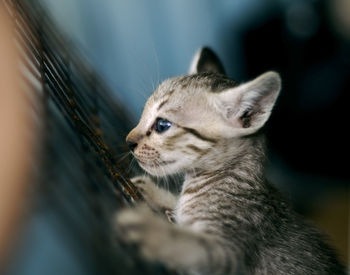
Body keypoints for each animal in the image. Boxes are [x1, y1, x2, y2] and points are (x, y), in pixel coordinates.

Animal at [116, 48, 346, 275]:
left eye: (162, 125)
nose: (128, 142)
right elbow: (178, 209)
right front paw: (154, 192)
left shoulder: (230, 253)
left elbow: (192, 245)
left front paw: (151, 231)